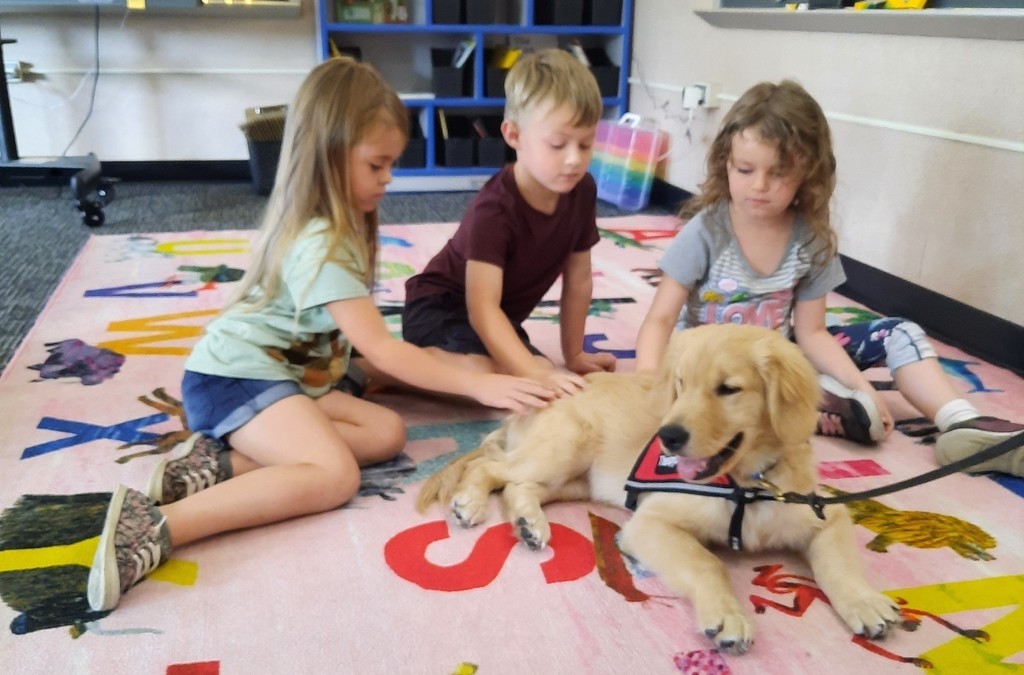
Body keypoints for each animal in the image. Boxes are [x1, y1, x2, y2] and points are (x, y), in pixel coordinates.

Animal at [413, 323, 897, 655]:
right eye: (680, 383)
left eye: (728, 389)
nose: (668, 436)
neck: (744, 486)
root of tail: (546, 389)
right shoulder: (651, 523)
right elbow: (707, 563)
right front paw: (727, 615)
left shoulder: (823, 511)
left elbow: (840, 564)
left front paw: (865, 603)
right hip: (567, 446)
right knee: (491, 468)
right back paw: (471, 503)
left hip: (578, 479)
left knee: (517, 485)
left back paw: (529, 524)